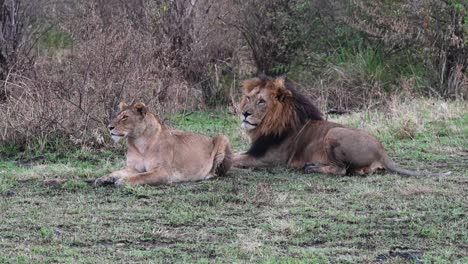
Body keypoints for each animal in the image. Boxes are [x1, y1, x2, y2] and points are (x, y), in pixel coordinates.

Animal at [95, 101, 232, 186]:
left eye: (125, 117)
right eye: (118, 115)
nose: (109, 127)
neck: (138, 142)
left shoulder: (163, 172)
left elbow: (141, 177)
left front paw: (123, 181)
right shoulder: (134, 168)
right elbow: (116, 172)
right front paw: (103, 178)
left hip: (222, 137)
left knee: (218, 172)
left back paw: (207, 175)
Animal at [234, 75, 450, 177]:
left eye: (261, 101)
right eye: (248, 98)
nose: (244, 113)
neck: (268, 124)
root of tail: (382, 151)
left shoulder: (270, 160)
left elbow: (237, 160)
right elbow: (234, 154)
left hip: (334, 132)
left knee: (341, 170)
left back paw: (312, 168)